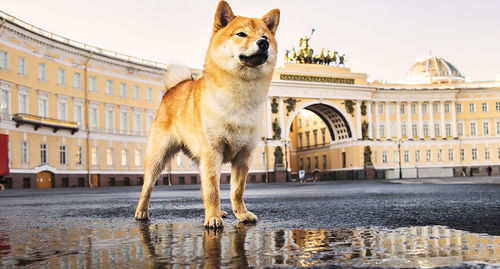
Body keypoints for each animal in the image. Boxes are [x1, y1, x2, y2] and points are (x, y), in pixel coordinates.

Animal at [135, 1, 280, 227]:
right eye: (241, 34)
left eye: (265, 36)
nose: (263, 43)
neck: (240, 96)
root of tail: (174, 87)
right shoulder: (212, 151)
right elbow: (213, 189)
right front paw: (212, 218)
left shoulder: (244, 156)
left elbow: (236, 190)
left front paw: (241, 213)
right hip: (158, 156)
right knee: (147, 186)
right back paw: (142, 211)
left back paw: (220, 211)